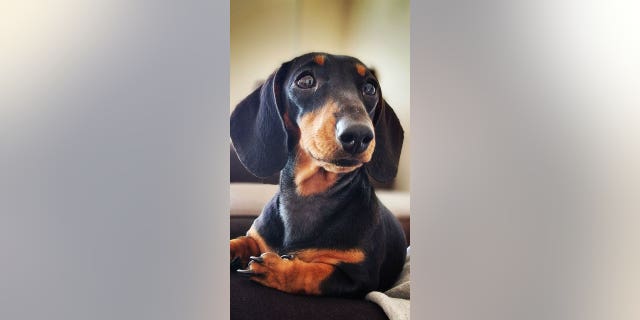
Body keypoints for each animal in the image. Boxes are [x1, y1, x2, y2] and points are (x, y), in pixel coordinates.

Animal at [231, 52, 404, 298]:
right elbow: (242, 241)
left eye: (370, 88)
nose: (359, 135)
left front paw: (277, 268)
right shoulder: (256, 237)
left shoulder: (359, 279)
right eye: (305, 80)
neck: (309, 196)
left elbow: (315, 273)